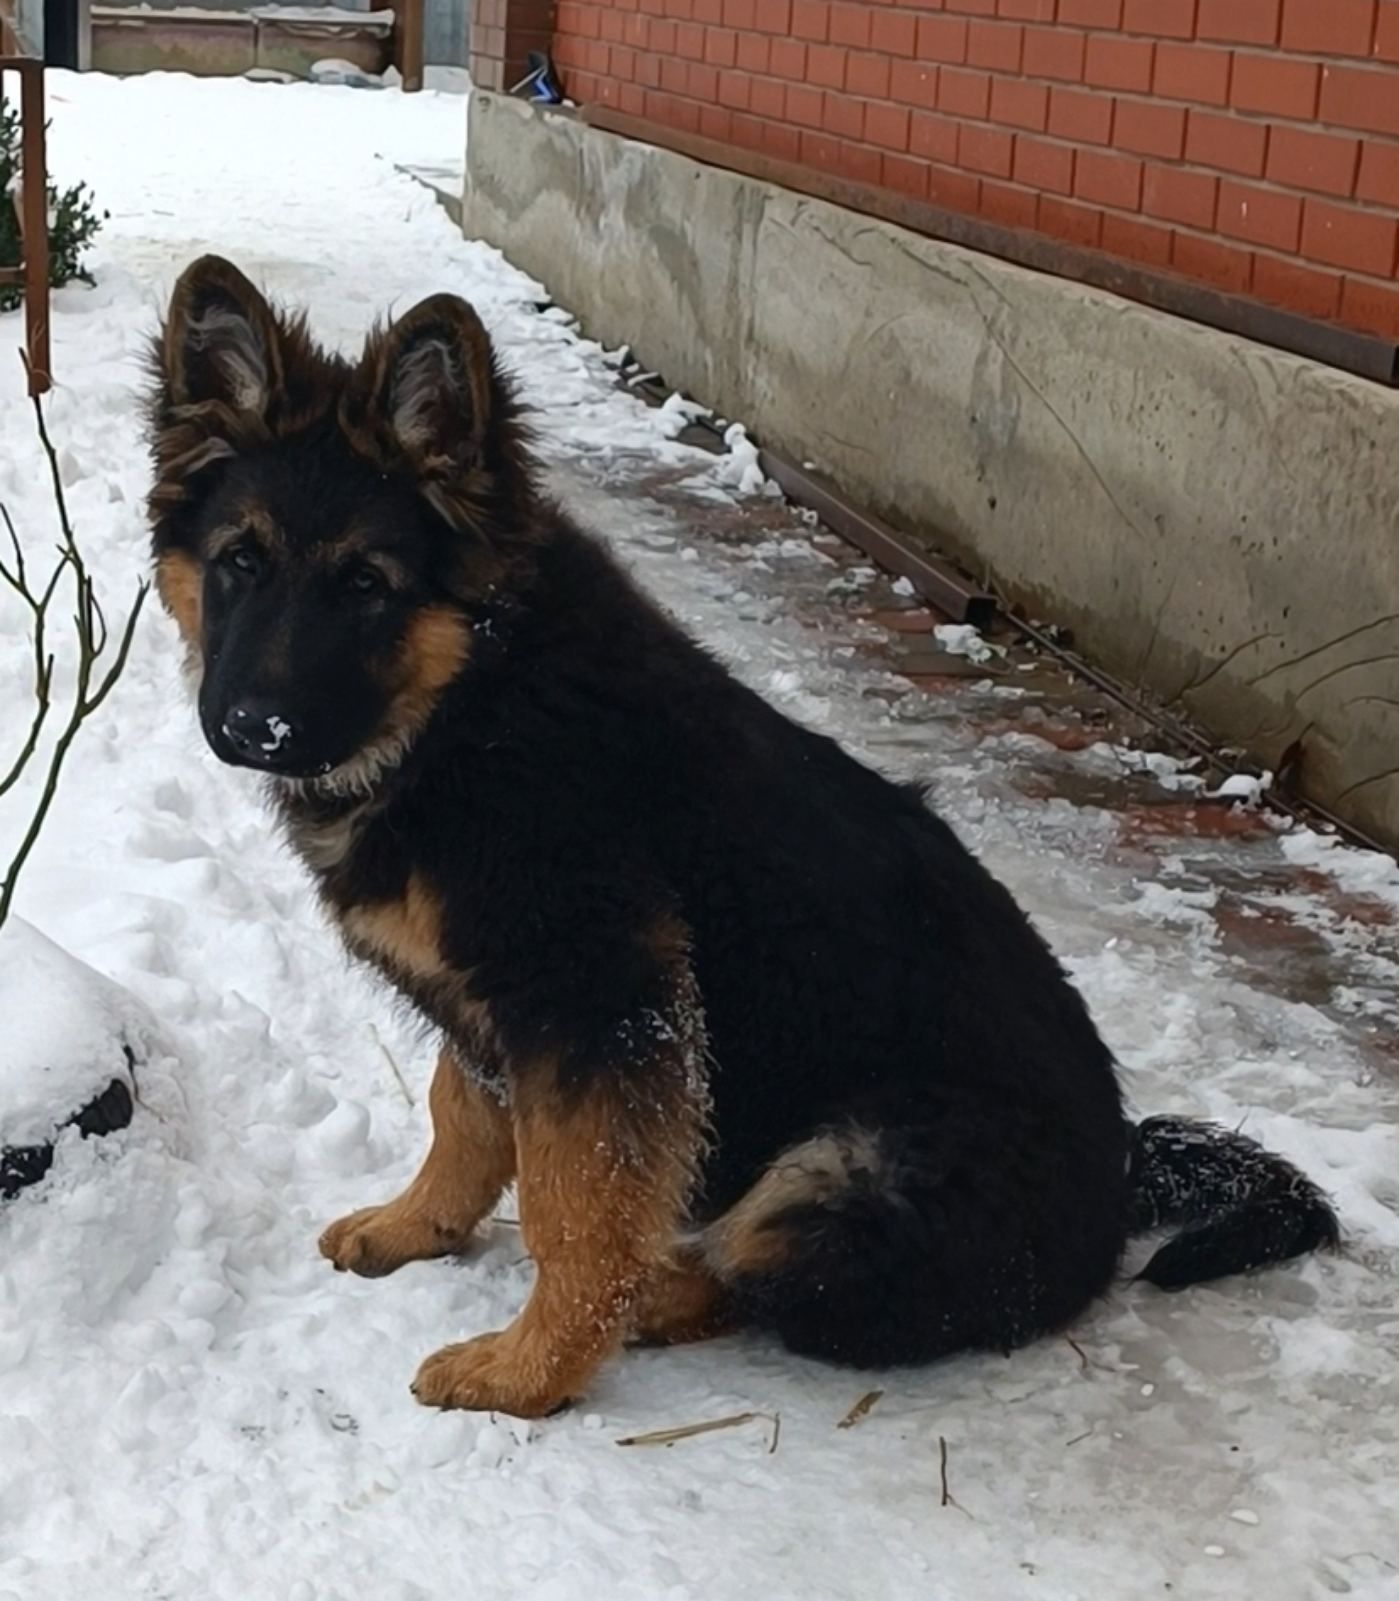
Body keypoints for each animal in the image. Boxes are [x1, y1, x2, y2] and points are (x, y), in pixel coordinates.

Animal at [147, 256, 1338, 1421]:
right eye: (241, 561)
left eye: (365, 584)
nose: (254, 728)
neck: (467, 700)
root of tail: (1121, 1183)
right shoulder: (499, 1003)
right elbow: (462, 1115)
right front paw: (416, 1225)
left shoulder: (606, 1007)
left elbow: (573, 1207)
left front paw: (531, 1372)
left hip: (834, 1172)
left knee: (761, 1278)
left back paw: (657, 1289)